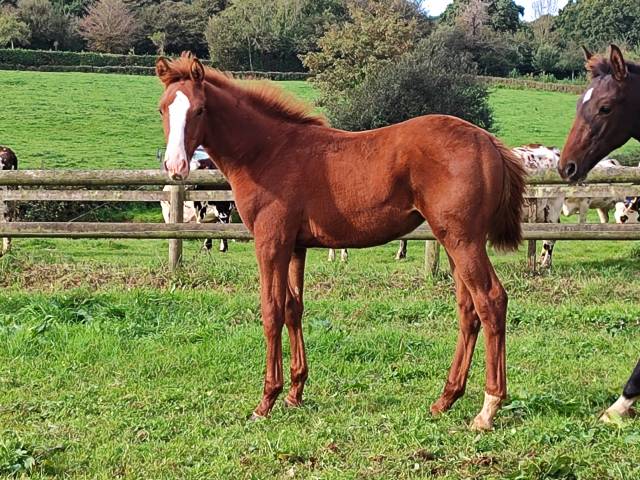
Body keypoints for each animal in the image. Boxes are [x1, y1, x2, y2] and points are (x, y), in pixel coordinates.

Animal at [155, 53, 524, 432]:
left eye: (200, 109)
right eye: (163, 108)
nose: (175, 165)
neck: (267, 152)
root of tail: (489, 142)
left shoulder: (271, 241)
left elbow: (271, 311)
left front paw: (266, 400)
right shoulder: (295, 246)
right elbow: (293, 308)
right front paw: (295, 392)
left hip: (464, 241)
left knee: (491, 301)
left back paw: (488, 408)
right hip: (453, 241)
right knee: (468, 310)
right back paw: (445, 399)